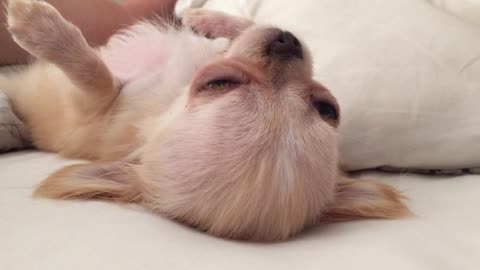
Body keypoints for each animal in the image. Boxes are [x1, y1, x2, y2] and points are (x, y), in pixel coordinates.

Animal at [0, 0, 410, 240]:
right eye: (328, 110)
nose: (286, 41)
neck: (171, 93)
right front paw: (205, 18)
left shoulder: (90, 111)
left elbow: (96, 76)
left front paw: (39, 27)